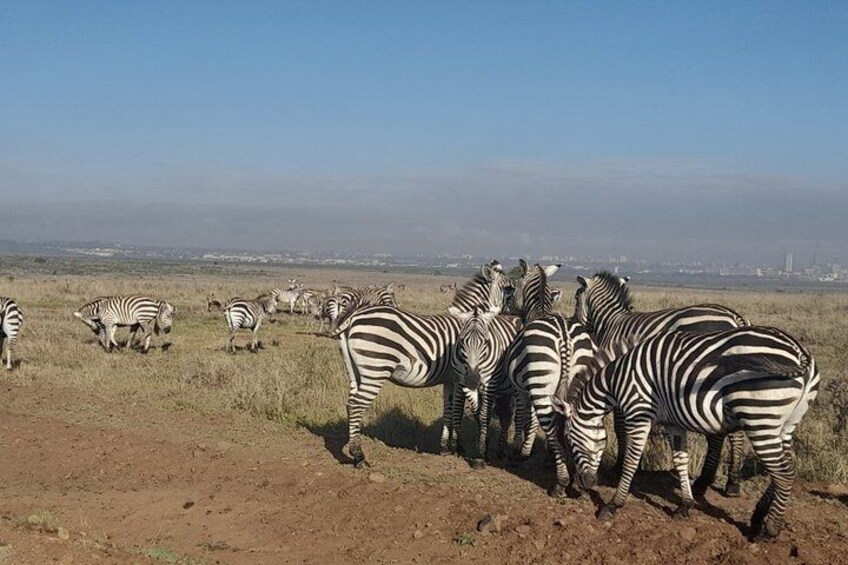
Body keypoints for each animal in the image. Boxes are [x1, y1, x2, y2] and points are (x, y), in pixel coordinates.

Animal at [330, 261, 513, 468]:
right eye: (509, 289)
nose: (511, 315)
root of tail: (353, 318)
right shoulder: (460, 378)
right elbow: (459, 411)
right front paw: (461, 448)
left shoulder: (449, 380)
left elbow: (448, 411)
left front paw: (445, 448)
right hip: (375, 369)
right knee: (356, 405)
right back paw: (359, 456)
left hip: (355, 372)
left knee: (350, 404)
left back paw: (354, 451)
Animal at [505, 261, 599, 497]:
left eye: (514, 287)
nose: (506, 306)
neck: (539, 311)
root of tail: (565, 336)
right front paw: (548, 458)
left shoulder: (521, 389)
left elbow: (524, 418)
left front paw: (520, 451)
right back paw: (579, 481)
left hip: (541, 385)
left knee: (550, 428)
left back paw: (561, 482)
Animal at [551, 325, 819, 541]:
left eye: (569, 439)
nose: (583, 485)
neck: (617, 379)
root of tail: (799, 350)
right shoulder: (674, 424)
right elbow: (681, 460)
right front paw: (685, 506)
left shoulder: (638, 414)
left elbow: (631, 461)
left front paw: (613, 505)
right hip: (785, 424)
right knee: (788, 466)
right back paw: (757, 519)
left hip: (759, 416)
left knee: (783, 473)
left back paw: (770, 529)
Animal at [573, 271, 751, 496]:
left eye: (576, 298)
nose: (572, 322)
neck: (612, 321)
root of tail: (735, 317)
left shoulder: (618, 380)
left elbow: (620, 428)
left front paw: (619, 465)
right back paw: (730, 483)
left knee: (719, 435)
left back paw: (707, 483)